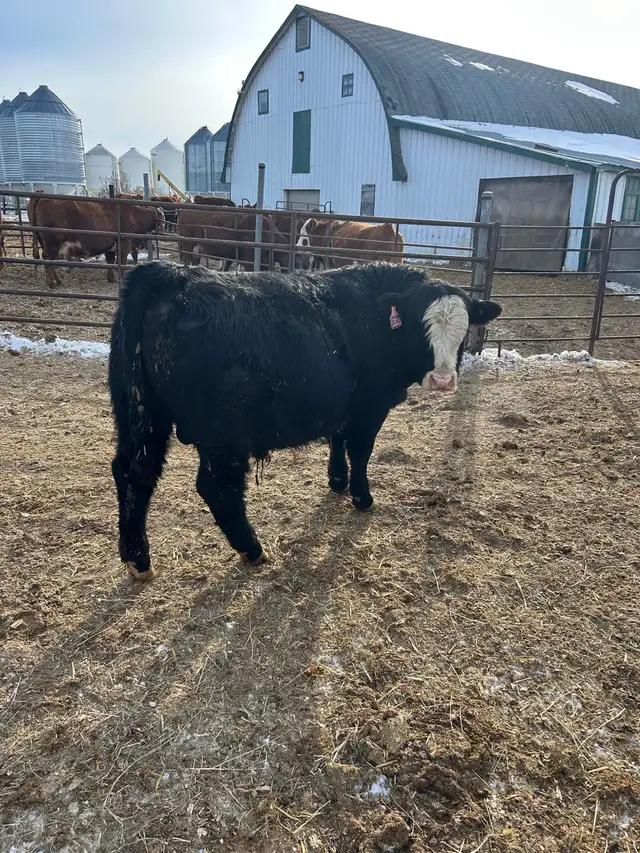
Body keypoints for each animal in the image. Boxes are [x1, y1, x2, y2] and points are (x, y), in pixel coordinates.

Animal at [30, 197, 164, 287]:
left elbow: (110, 261)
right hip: (52, 243)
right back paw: (51, 283)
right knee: (48, 259)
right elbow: (121, 261)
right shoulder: (124, 242)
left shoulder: (111, 246)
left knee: (49, 260)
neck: (133, 214)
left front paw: (111, 278)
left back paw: (58, 281)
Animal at [108, 260, 502, 580]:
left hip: (142, 416)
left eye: (463, 331)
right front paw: (362, 496)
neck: (374, 319)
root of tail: (171, 274)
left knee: (134, 473)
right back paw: (252, 548)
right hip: (222, 433)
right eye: (422, 327)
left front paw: (337, 481)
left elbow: (338, 440)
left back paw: (137, 559)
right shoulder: (369, 406)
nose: (443, 380)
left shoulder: (344, 405)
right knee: (217, 488)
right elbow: (361, 450)